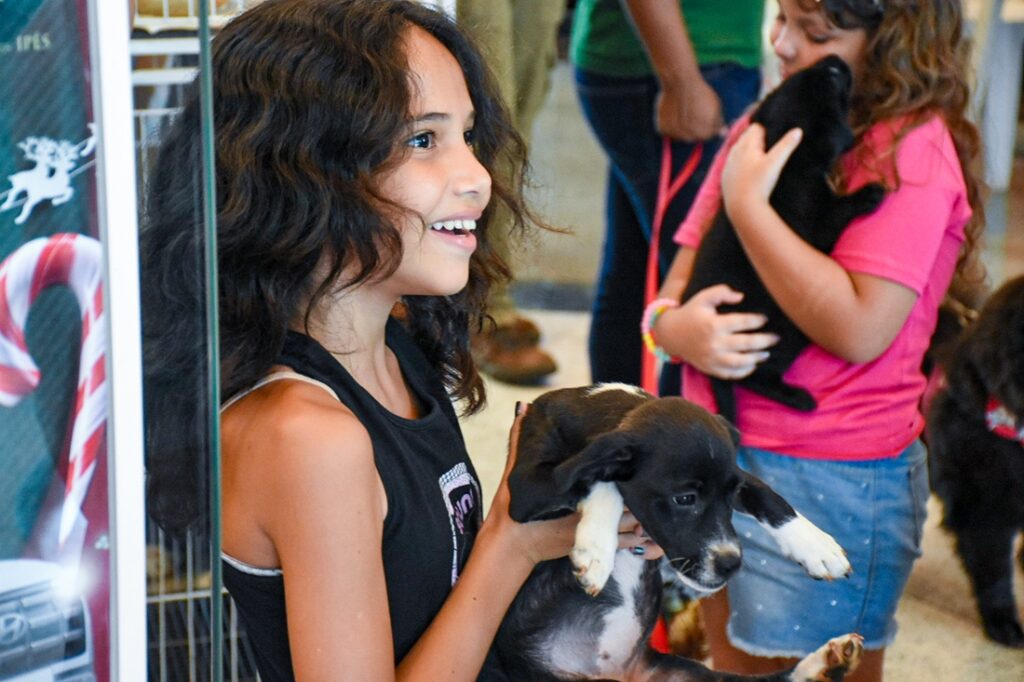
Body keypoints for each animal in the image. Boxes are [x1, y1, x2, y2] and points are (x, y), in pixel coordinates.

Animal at [491, 385, 860, 675]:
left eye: (730, 495)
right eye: (684, 499)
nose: (731, 564)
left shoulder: (737, 476)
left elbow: (766, 493)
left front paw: (818, 548)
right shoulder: (526, 488)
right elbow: (599, 478)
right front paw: (595, 550)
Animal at [675, 55, 884, 421]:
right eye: (833, 79)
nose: (834, 60)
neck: (787, 164)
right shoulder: (815, 230)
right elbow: (837, 211)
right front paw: (868, 194)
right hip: (788, 329)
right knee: (753, 376)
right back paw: (797, 397)